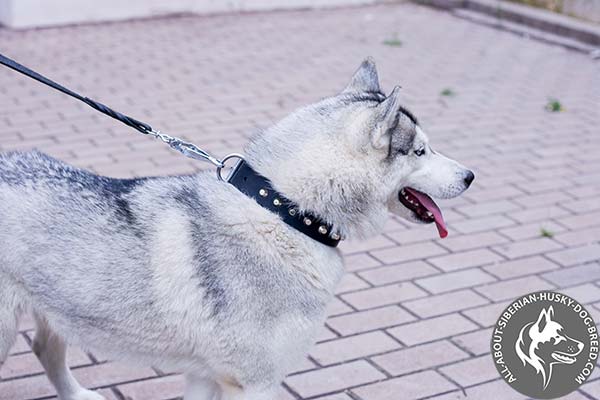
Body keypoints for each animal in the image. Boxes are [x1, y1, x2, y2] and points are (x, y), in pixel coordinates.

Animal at [0, 59, 474, 400]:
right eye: (420, 151)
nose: (471, 175)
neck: (284, 212)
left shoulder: (206, 377)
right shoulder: (252, 383)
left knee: (45, 349)